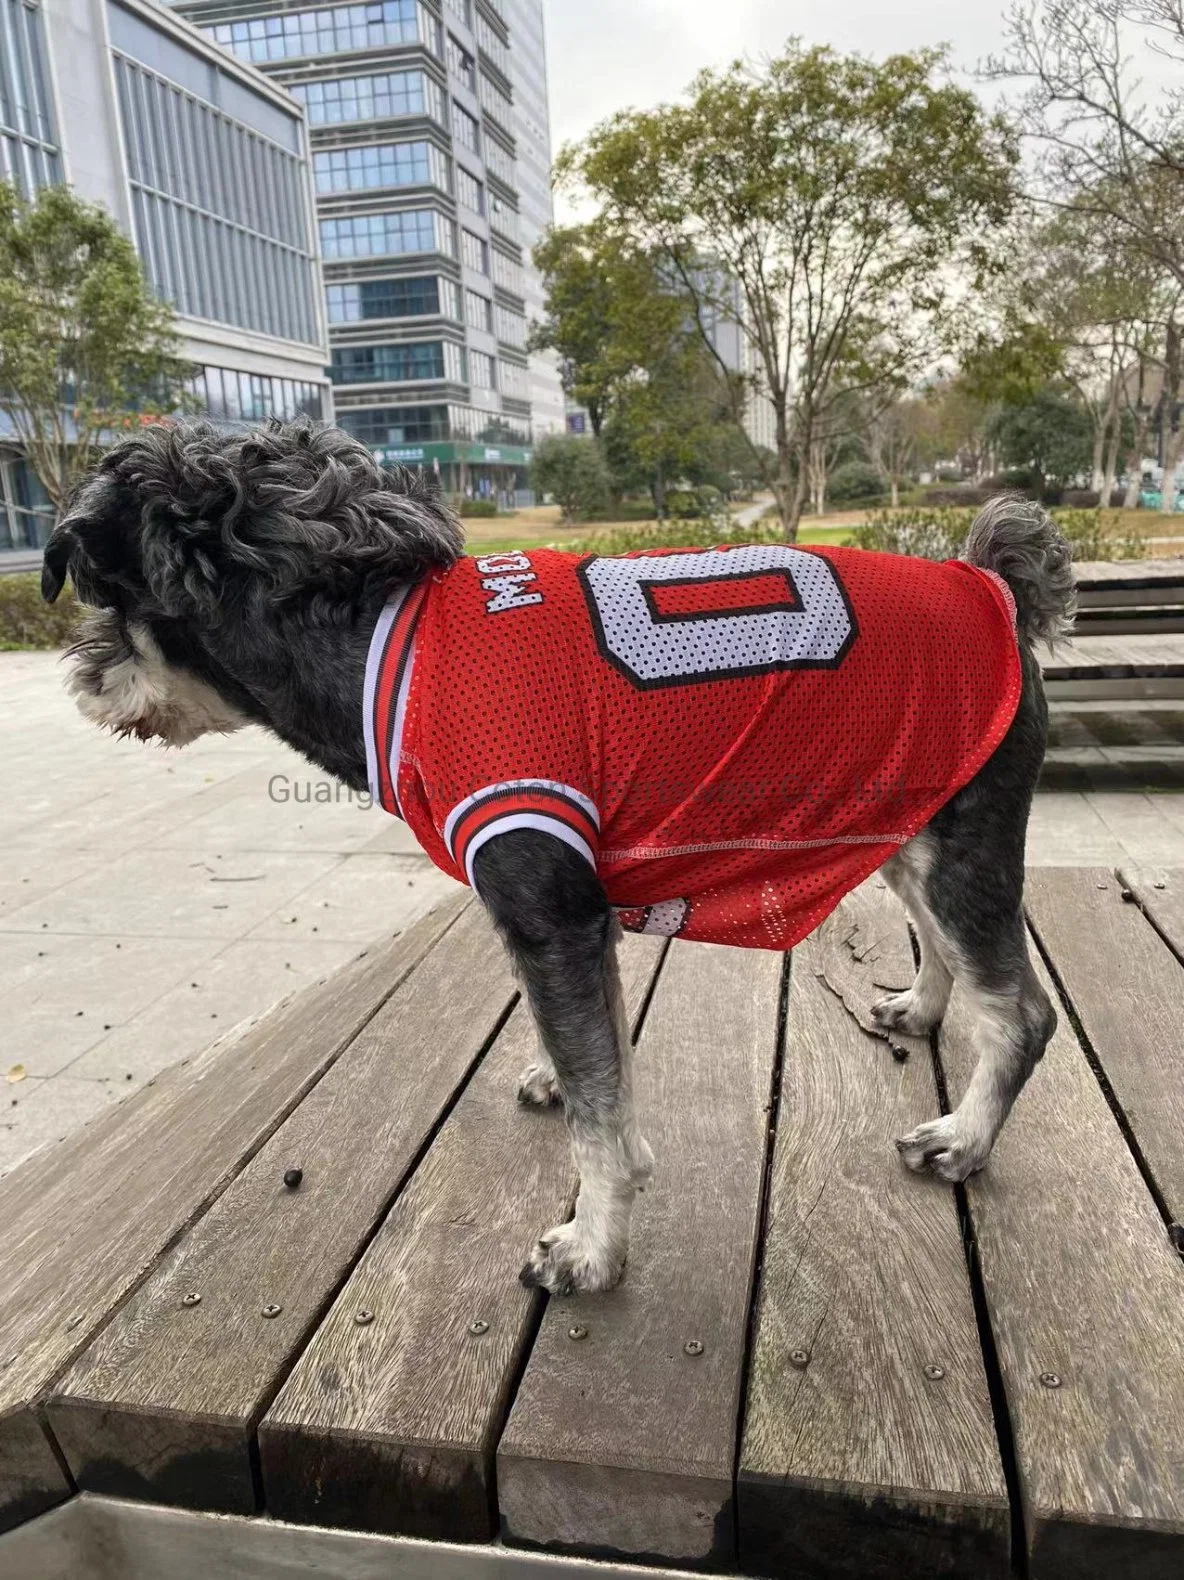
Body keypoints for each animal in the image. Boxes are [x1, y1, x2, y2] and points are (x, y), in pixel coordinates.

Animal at [39, 420, 1068, 1295]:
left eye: (102, 595)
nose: (82, 676)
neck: (378, 648)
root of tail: (994, 588)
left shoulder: (548, 915)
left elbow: (597, 1113)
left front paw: (593, 1246)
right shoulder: (581, 922)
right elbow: (602, 1066)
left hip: (960, 845)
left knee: (1020, 1012)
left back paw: (965, 1139)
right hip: (906, 823)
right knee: (945, 950)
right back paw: (921, 1009)